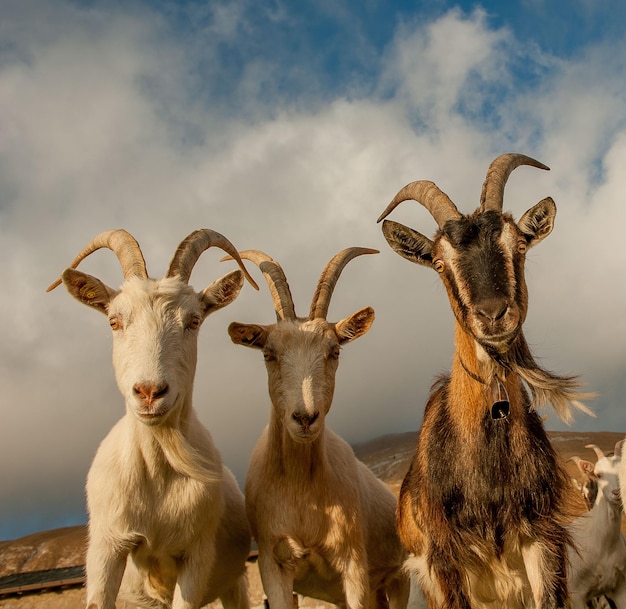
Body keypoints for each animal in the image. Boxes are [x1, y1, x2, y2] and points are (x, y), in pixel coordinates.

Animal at [45, 228, 256, 608]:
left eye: (194, 321)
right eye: (114, 321)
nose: (149, 391)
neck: (157, 474)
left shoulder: (197, 554)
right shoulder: (107, 545)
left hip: (235, 582)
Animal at [224, 248, 410, 608]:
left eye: (334, 350)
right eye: (269, 353)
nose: (305, 418)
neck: (302, 494)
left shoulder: (354, 565)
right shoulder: (273, 564)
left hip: (398, 579)